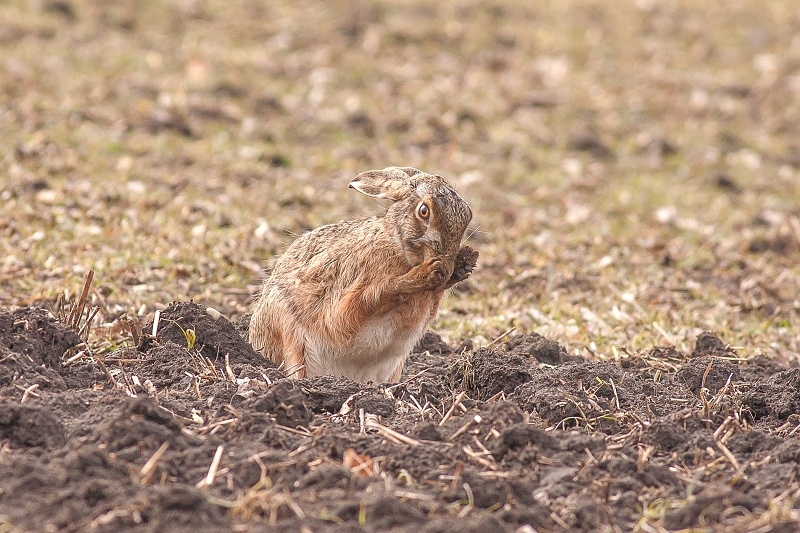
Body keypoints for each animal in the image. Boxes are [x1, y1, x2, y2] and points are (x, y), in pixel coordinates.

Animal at [248, 166, 478, 383]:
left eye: (468, 215)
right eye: (424, 211)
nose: (446, 265)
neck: (398, 245)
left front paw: (465, 263)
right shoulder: (351, 292)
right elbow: (374, 296)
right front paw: (424, 274)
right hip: (289, 332)